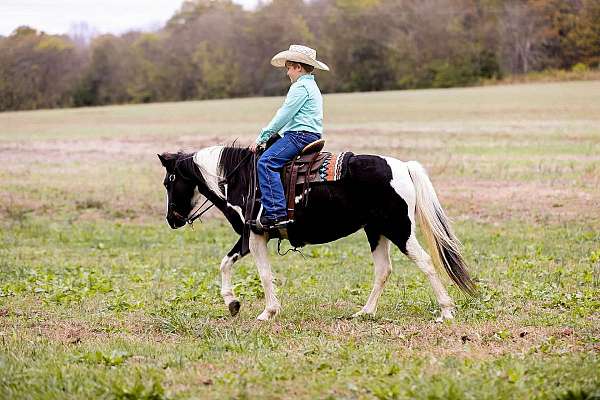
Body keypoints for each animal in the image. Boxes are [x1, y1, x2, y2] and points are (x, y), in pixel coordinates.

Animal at [157, 147, 476, 322]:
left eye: (169, 181)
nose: (172, 219)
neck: (241, 179)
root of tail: (402, 167)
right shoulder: (250, 237)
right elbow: (225, 263)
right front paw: (232, 303)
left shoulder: (256, 235)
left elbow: (263, 274)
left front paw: (267, 312)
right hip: (376, 231)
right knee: (383, 270)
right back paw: (365, 312)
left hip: (399, 229)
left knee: (426, 263)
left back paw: (446, 311)